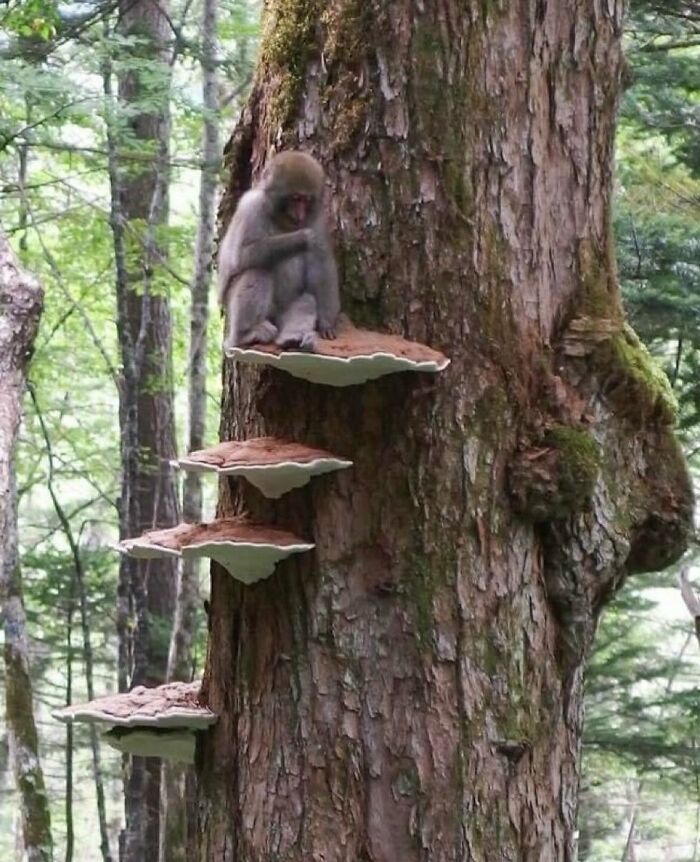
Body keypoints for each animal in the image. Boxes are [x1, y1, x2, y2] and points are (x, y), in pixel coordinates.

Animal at [217, 151, 340, 352]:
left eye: (306, 200)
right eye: (295, 198)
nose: (300, 215)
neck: (281, 220)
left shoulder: (318, 218)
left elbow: (322, 263)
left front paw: (326, 322)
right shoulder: (250, 207)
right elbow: (239, 256)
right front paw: (301, 238)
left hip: (285, 310)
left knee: (306, 301)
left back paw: (291, 338)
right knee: (257, 271)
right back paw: (246, 334)